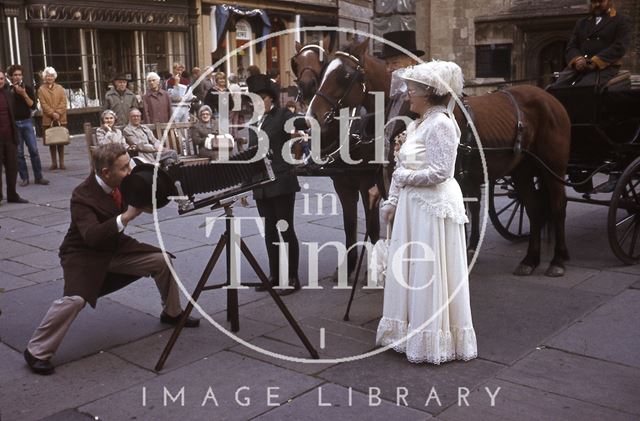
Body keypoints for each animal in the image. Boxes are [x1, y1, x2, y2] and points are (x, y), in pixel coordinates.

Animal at [292, 41, 388, 276]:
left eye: (346, 76)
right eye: (296, 63)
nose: (306, 86)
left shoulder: (367, 182)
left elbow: (373, 227)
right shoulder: (342, 183)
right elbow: (350, 223)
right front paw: (349, 265)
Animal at [304, 38, 568, 276]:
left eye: (345, 76)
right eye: (322, 74)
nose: (310, 117)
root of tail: (547, 96)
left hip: (552, 166)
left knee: (557, 204)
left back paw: (557, 260)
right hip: (522, 169)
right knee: (534, 208)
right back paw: (530, 260)